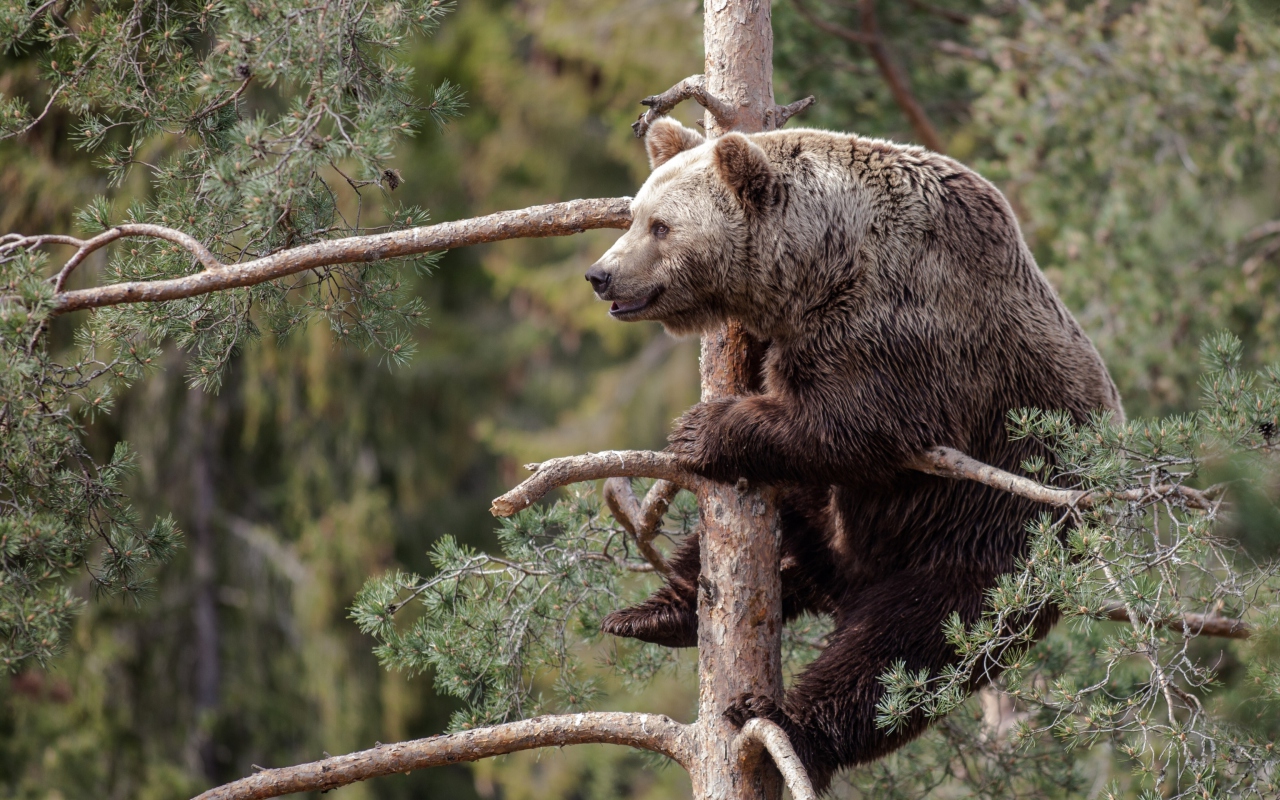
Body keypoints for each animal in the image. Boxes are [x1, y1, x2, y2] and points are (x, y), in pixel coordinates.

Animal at [586, 115, 1121, 788]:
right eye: (634, 215)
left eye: (660, 226)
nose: (600, 274)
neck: (822, 263)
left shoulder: (903, 327)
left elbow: (857, 424)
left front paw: (701, 428)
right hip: (844, 521)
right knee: (770, 534)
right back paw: (658, 613)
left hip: (994, 538)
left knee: (904, 652)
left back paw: (785, 723)